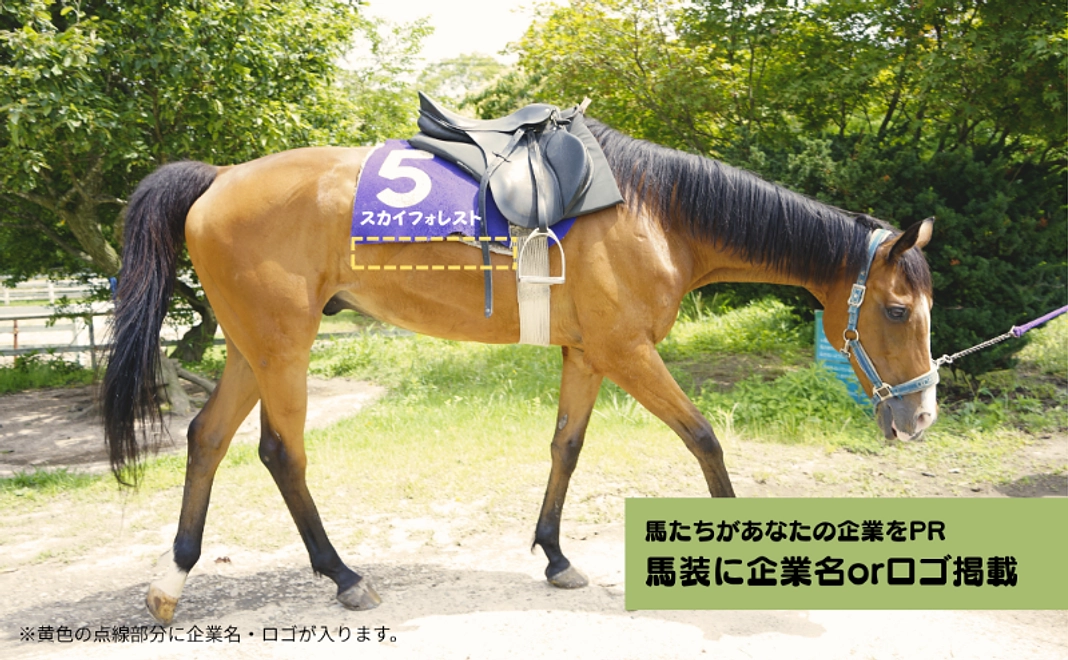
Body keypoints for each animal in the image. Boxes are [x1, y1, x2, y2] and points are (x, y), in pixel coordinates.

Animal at [102, 119, 938, 624]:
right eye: (899, 311)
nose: (921, 414)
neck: (652, 212)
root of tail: (218, 177)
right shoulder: (628, 350)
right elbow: (704, 437)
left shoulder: (590, 354)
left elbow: (566, 446)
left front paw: (557, 555)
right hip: (282, 348)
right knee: (281, 453)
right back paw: (343, 576)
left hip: (254, 348)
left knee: (207, 439)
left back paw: (173, 579)